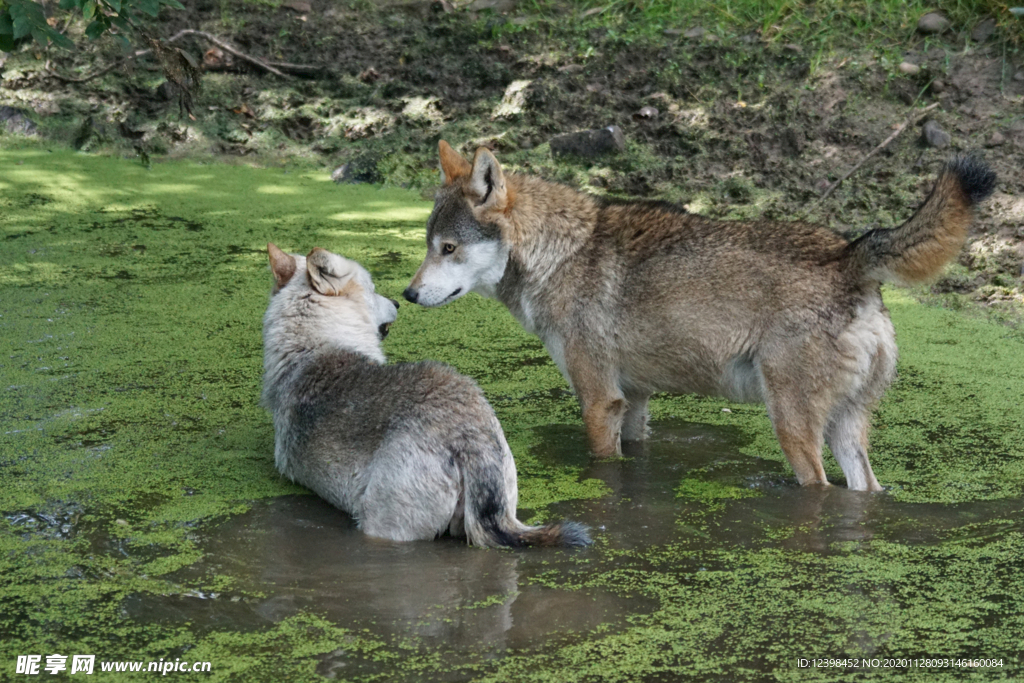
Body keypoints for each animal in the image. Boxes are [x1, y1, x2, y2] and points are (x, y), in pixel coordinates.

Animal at [403, 140, 995, 491]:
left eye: (449, 249)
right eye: (430, 246)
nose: (407, 295)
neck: (562, 253)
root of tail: (849, 255)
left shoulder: (598, 400)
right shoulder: (634, 400)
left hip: (794, 428)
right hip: (846, 433)